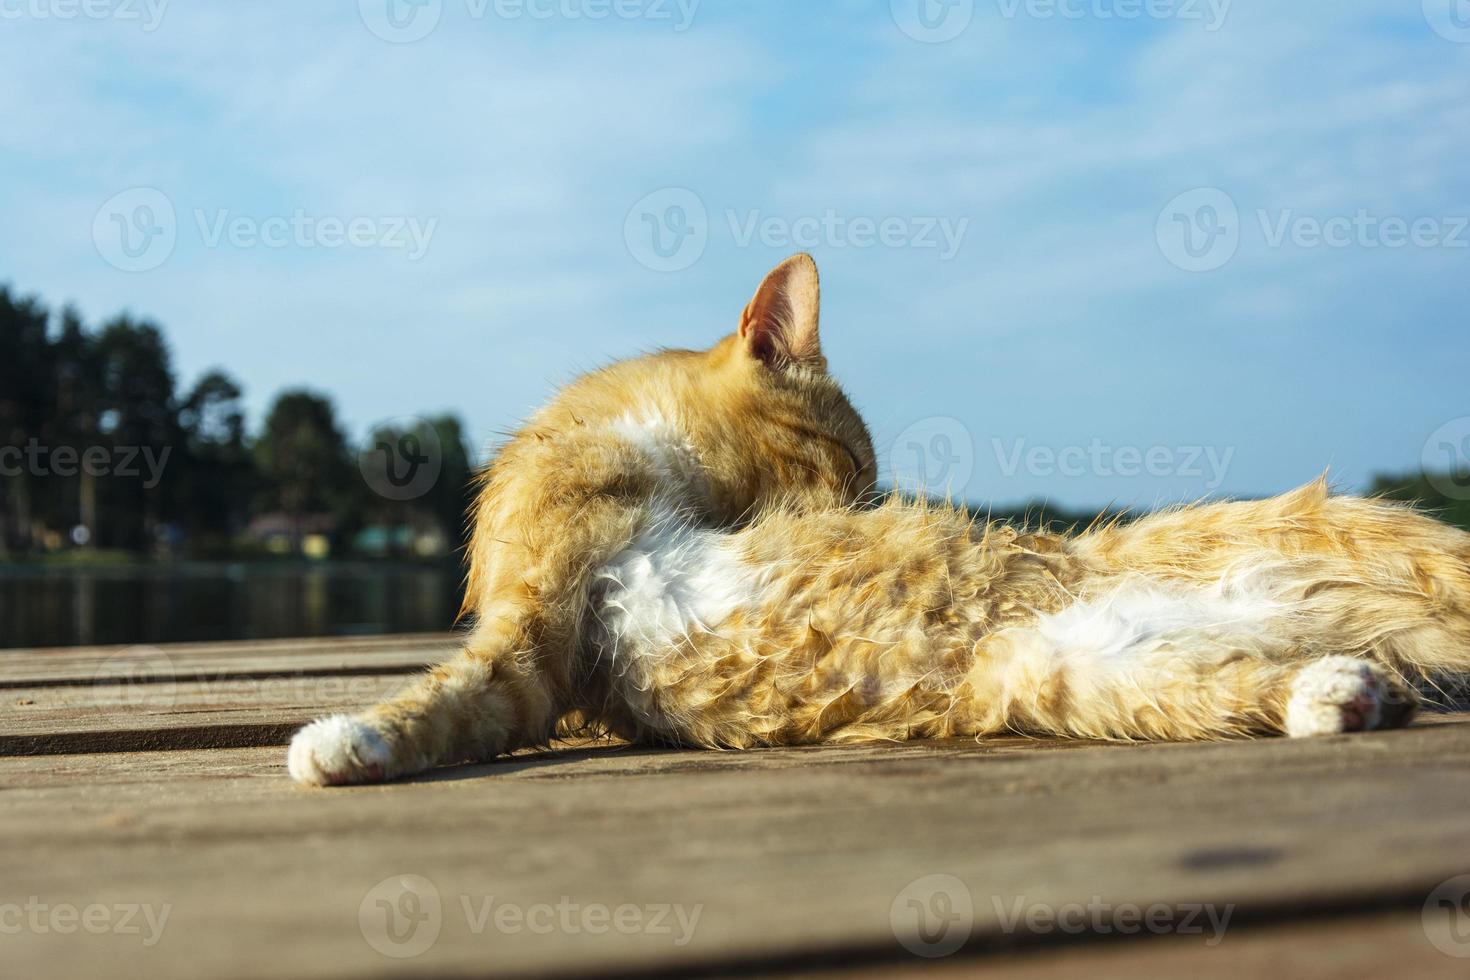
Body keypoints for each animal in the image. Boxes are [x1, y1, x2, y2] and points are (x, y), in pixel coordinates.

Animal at [286, 255, 1470, 787]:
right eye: (852, 467)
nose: (864, 508)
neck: (638, 452)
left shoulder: (545, 640)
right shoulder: (541, 645)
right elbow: (446, 700)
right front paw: (349, 741)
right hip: (1085, 675)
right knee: (1270, 682)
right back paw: (1345, 692)